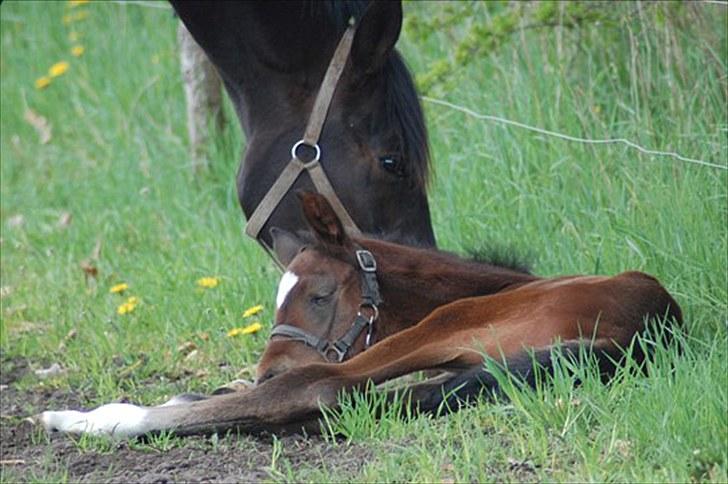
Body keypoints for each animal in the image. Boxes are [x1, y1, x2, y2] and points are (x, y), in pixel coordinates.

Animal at [39, 194, 680, 438]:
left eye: (321, 296)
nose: (267, 370)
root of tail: (653, 331)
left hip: (449, 327)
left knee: (322, 386)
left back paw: (86, 420)